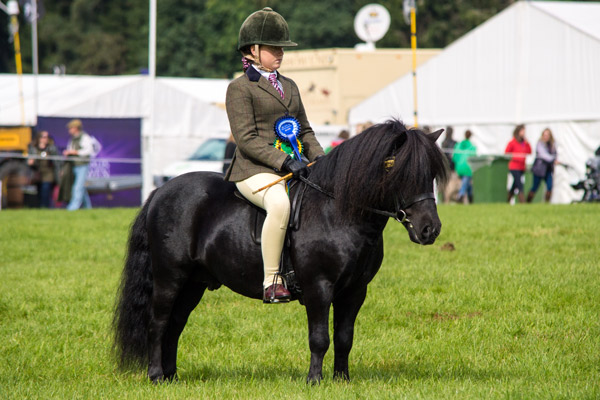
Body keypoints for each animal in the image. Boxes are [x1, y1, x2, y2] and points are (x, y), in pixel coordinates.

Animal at [112, 119, 446, 384]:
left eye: (430, 174)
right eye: (400, 172)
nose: (430, 230)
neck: (338, 212)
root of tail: (160, 191)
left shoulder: (355, 291)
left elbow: (344, 338)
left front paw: (342, 379)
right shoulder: (318, 286)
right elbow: (320, 338)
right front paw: (314, 380)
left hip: (194, 283)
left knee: (176, 324)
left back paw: (172, 376)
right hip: (170, 278)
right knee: (159, 322)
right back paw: (156, 376)